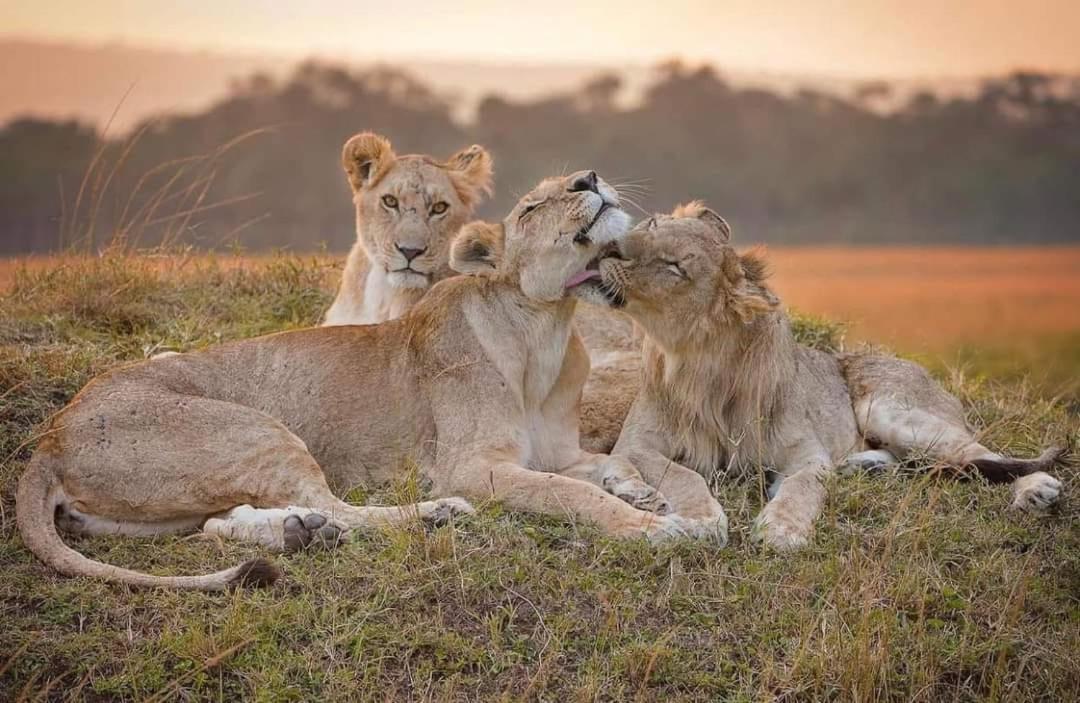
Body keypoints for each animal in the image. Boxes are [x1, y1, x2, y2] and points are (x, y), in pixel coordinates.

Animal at [14, 172, 717, 591]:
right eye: (532, 206)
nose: (589, 178)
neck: (545, 328)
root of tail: (49, 437)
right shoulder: (472, 466)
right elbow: (572, 495)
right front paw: (650, 526)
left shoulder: (558, 451)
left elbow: (599, 466)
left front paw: (640, 489)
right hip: (255, 427)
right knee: (335, 503)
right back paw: (431, 517)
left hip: (161, 508)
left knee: (224, 522)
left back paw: (296, 531)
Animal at [574, 201, 1062, 550]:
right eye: (652, 223)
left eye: (675, 267)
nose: (609, 247)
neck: (700, 363)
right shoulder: (637, 444)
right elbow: (685, 476)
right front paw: (701, 518)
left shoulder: (805, 454)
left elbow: (803, 486)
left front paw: (783, 530)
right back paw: (865, 466)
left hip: (894, 411)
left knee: (982, 453)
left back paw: (1036, 491)